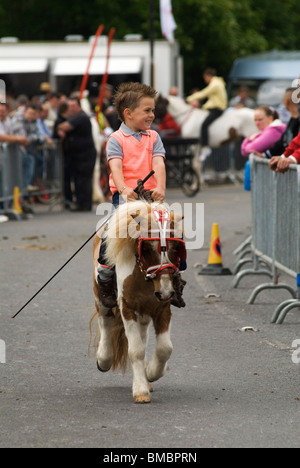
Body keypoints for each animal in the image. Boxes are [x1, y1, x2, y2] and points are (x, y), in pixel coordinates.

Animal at [91, 200, 185, 402]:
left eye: (175, 246)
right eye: (147, 248)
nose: (165, 291)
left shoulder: (162, 308)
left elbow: (165, 348)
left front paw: (150, 373)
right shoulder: (127, 308)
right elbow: (136, 350)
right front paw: (141, 391)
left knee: (143, 336)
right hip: (101, 300)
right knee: (105, 323)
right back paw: (104, 359)